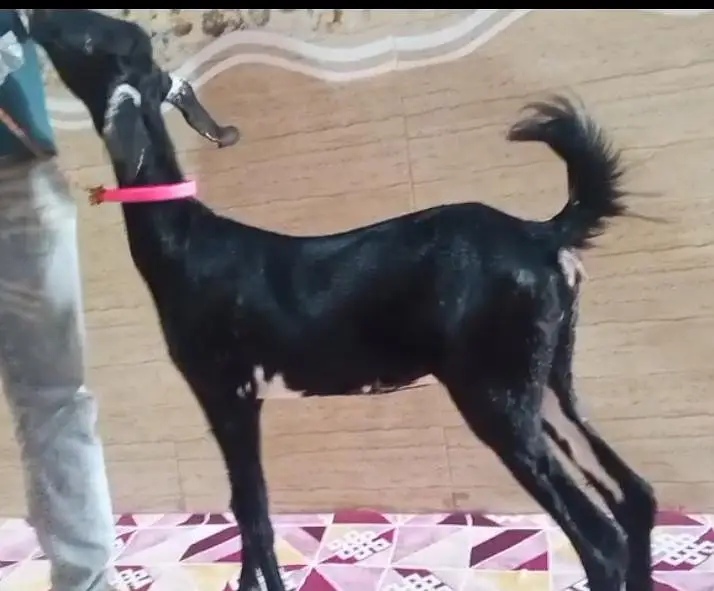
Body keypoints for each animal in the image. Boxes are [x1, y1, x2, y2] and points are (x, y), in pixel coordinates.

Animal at [32, 9, 657, 591]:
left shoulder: (225, 390)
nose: (37, 18)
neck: (188, 242)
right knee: (635, 496)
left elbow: (253, 515)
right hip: (549, 379)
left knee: (600, 537)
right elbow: (249, 509)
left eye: (90, 37)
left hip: (495, 391)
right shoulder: (242, 399)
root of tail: (541, 234)